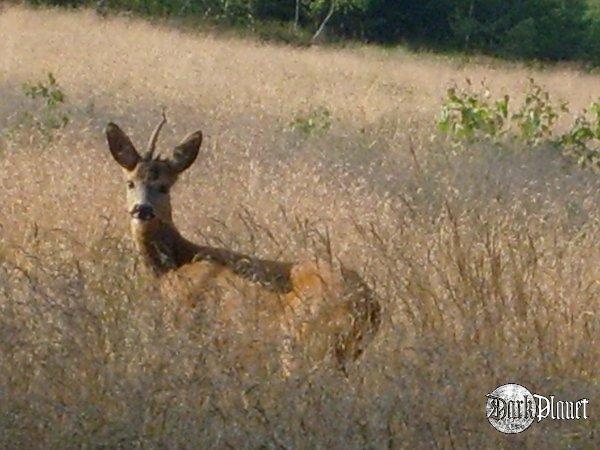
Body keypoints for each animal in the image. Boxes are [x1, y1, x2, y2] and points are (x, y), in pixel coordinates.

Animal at [105, 114, 380, 374]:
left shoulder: (182, 321)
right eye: (130, 182)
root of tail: (369, 305)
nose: (142, 209)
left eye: (164, 187)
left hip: (302, 342)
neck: (173, 263)